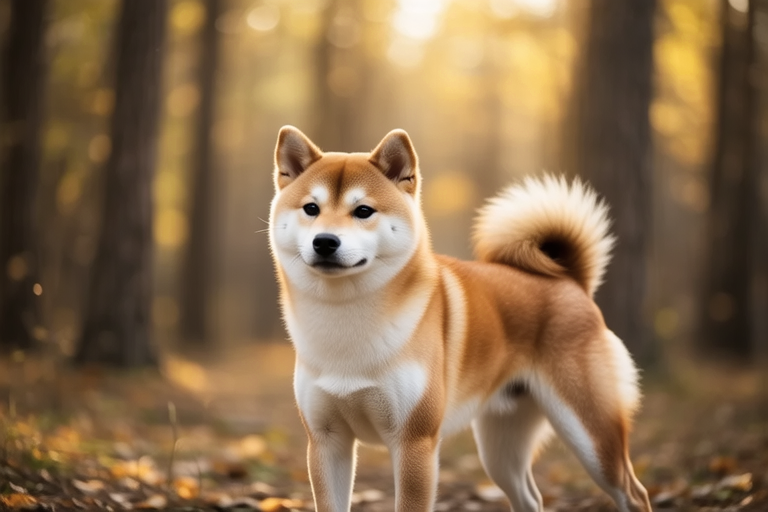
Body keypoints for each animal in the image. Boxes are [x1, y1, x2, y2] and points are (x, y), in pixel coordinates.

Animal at [268, 125, 651, 512]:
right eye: (311, 208)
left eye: (363, 211)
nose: (325, 241)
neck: (345, 320)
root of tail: (570, 281)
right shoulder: (326, 440)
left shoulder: (415, 442)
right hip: (501, 449)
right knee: (531, 498)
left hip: (591, 435)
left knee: (635, 493)